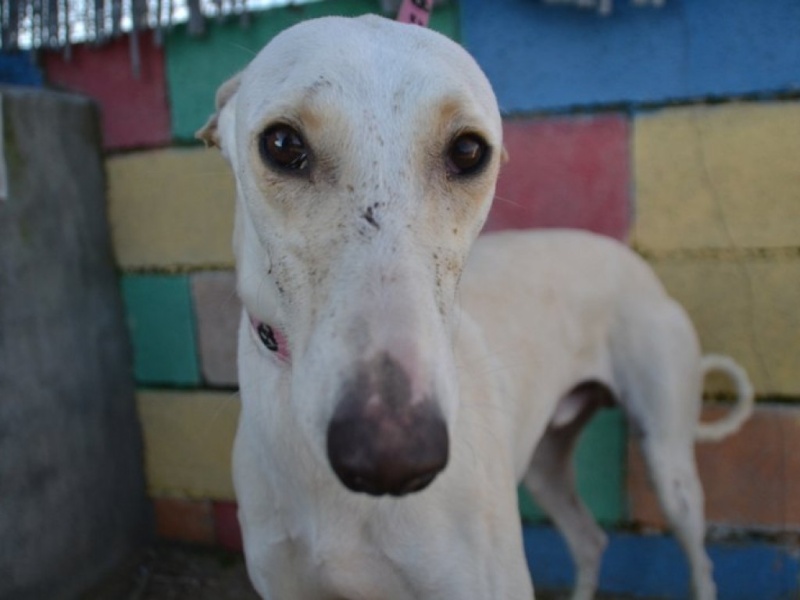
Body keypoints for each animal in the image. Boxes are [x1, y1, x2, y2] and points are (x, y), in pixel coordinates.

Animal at [197, 14, 752, 600]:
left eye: (468, 150)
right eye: (282, 143)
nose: (392, 457)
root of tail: (637, 266)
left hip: (669, 463)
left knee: (699, 559)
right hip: (545, 463)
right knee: (589, 539)